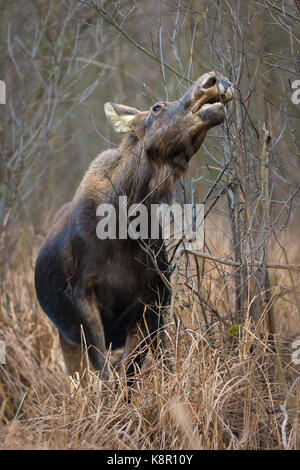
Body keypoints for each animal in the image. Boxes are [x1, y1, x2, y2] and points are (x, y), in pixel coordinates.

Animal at [34, 70, 232, 386]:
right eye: (156, 107)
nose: (210, 80)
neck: (123, 227)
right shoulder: (82, 295)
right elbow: (104, 374)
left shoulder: (151, 302)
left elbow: (130, 373)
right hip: (65, 336)